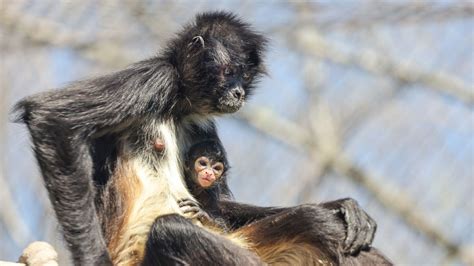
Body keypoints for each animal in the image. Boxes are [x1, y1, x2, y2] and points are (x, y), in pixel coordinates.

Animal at [15, 11, 392, 264]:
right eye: (229, 72)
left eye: (245, 76)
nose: (238, 92)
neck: (179, 104)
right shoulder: (157, 78)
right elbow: (50, 117)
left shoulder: (202, 124)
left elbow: (217, 202)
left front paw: (339, 205)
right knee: (172, 229)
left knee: (316, 222)